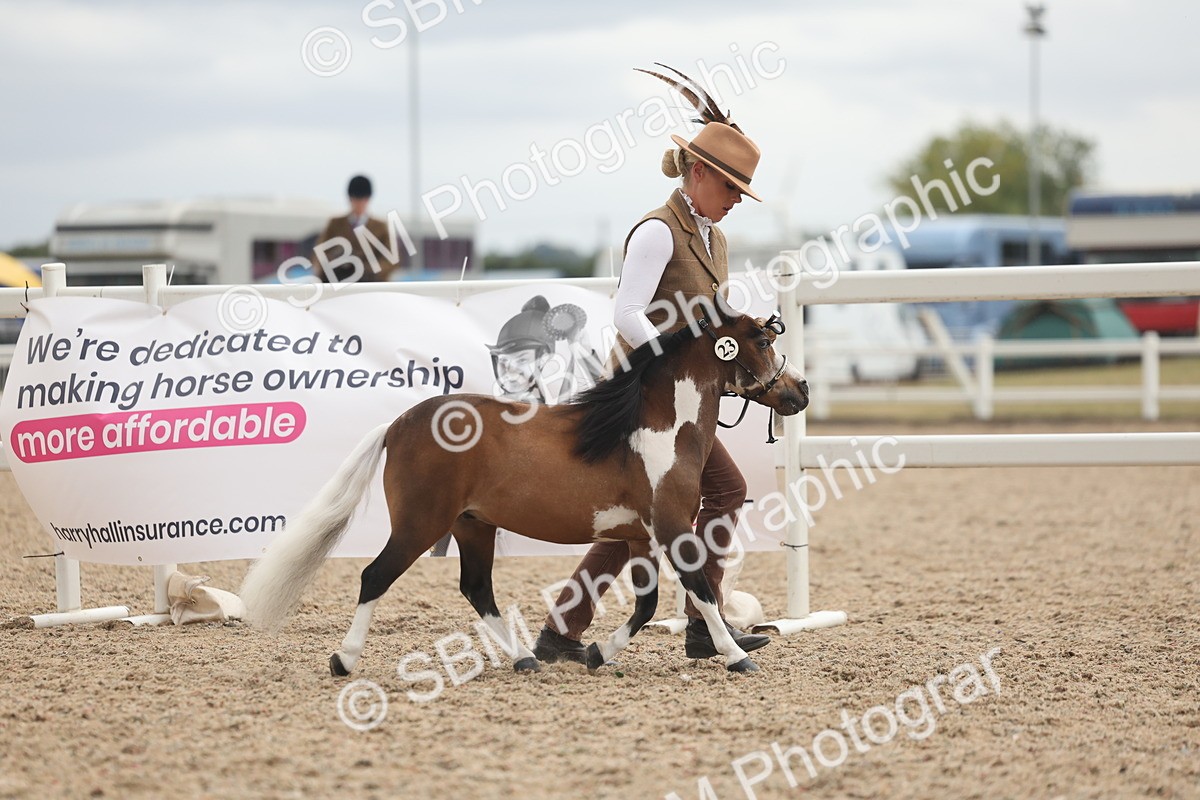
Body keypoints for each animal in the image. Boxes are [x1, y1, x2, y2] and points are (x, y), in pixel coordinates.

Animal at [239, 293, 809, 674]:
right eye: (762, 340)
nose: (799, 390)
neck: (656, 430)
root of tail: (399, 423)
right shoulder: (671, 528)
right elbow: (702, 591)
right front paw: (735, 656)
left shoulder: (640, 537)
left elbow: (646, 606)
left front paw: (597, 652)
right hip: (421, 524)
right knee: (375, 577)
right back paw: (345, 660)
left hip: (473, 525)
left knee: (476, 587)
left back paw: (523, 660)